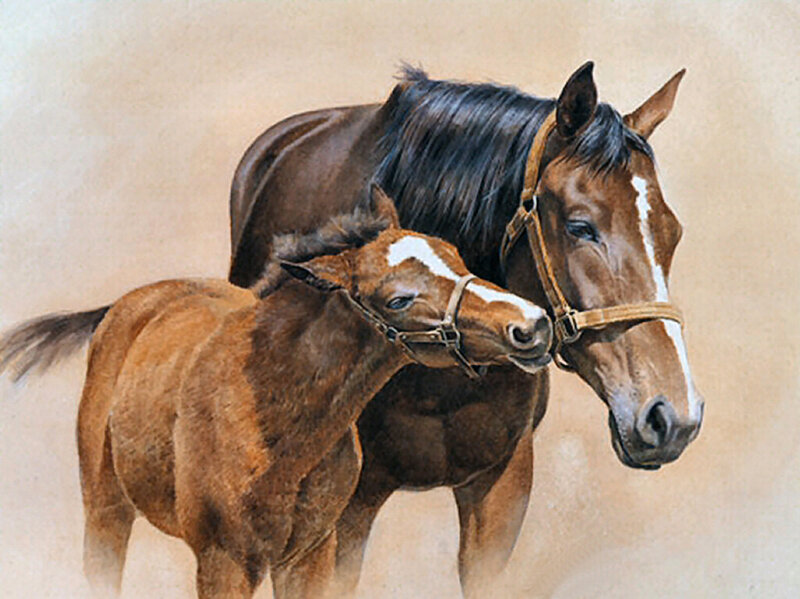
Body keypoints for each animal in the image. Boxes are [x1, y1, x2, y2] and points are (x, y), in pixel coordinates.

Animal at [0, 190, 552, 598]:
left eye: (455, 256)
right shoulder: (223, 562)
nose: (531, 325)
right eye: (398, 299)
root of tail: (128, 303)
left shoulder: (310, 555)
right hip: (105, 510)